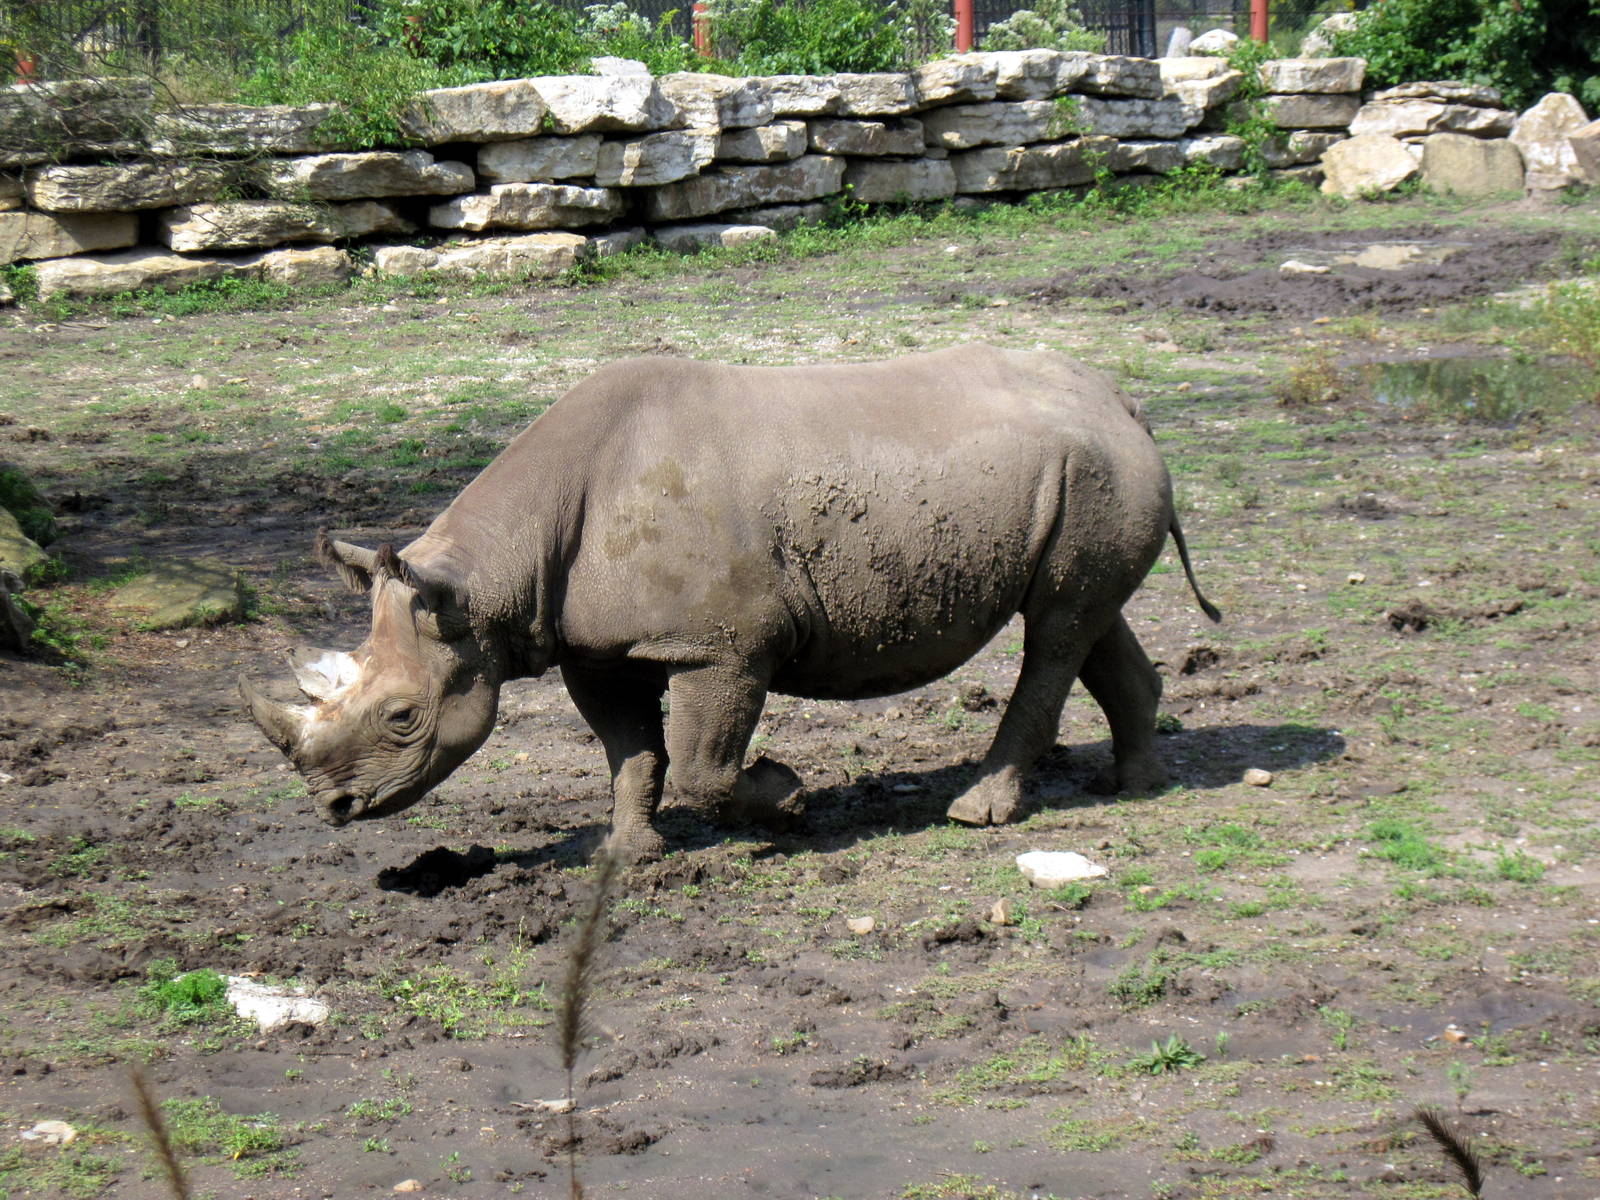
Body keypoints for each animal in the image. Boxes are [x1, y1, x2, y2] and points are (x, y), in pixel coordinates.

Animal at [242, 345, 1218, 862]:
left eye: (404, 717)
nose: (335, 809)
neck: (487, 578)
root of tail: (1125, 401)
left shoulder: (722, 643)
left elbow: (704, 764)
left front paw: (786, 802)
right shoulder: (595, 649)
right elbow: (631, 750)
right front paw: (628, 856)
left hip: (1091, 470)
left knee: (1054, 631)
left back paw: (978, 813)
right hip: (1087, 474)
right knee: (1085, 618)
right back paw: (1137, 786)